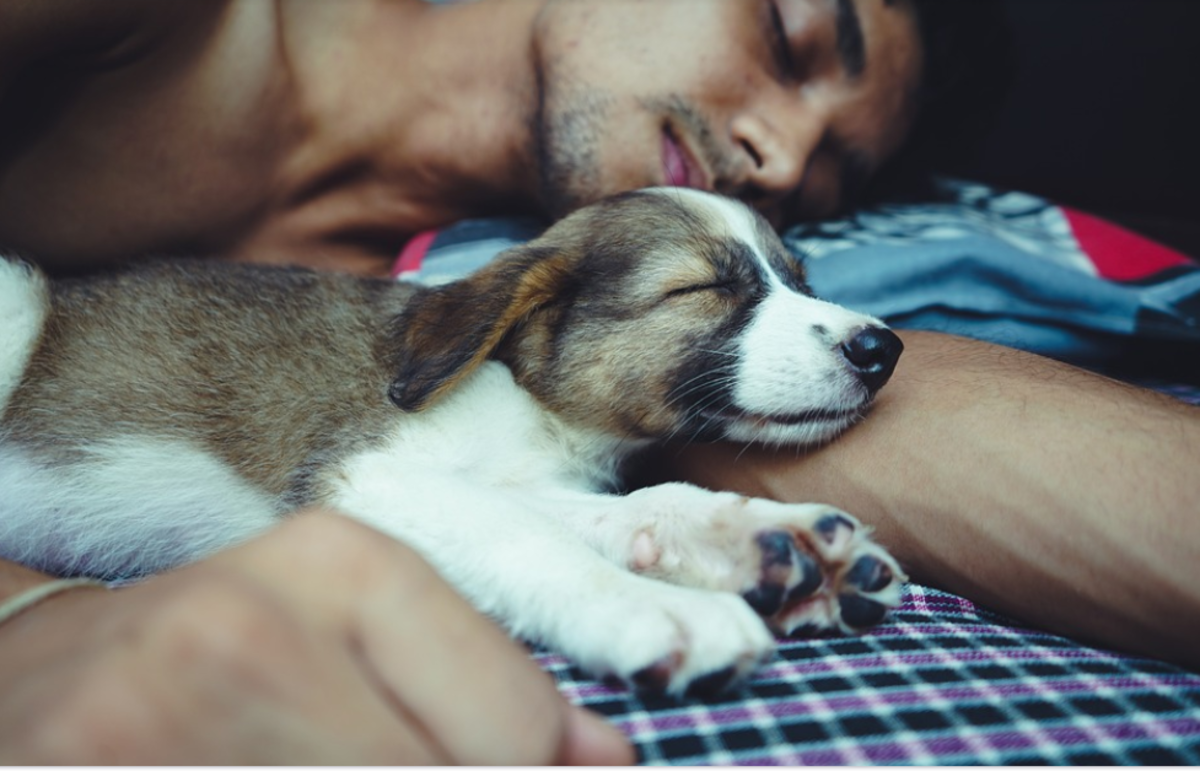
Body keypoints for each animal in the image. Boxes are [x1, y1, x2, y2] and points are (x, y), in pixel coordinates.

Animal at [0, 187, 902, 696]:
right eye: (703, 288)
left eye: (801, 279)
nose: (882, 347)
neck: (534, 400)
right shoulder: (367, 477)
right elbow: (526, 538)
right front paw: (653, 606)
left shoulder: (510, 481)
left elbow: (634, 505)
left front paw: (759, 540)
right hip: (17, 298)